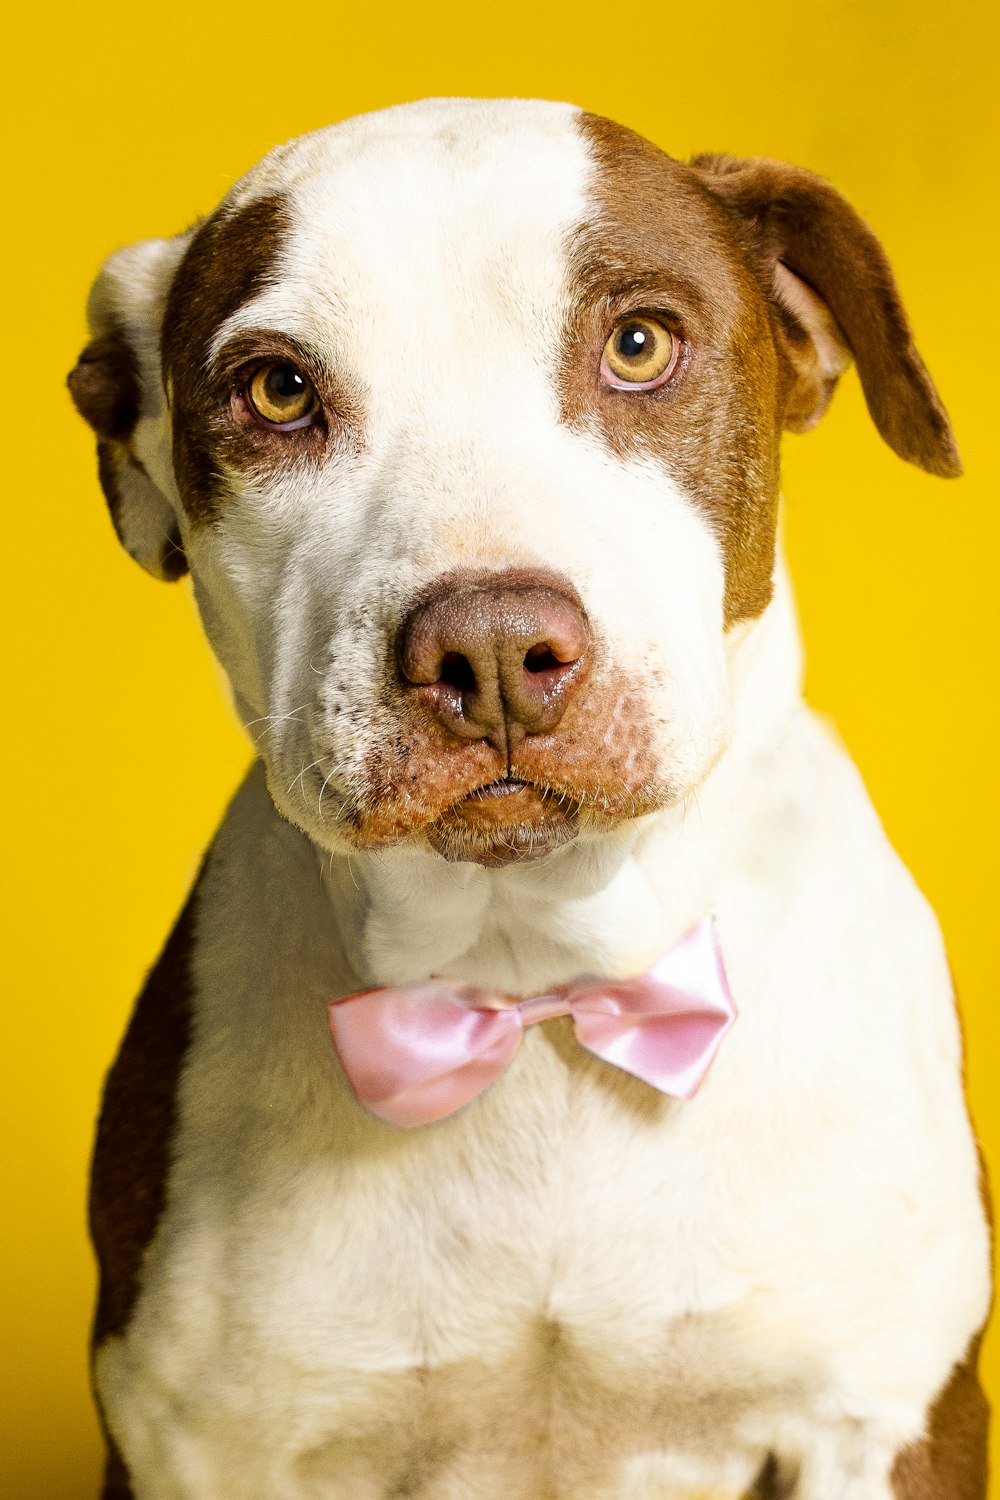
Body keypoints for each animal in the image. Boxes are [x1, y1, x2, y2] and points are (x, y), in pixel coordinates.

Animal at [70, 99, 995, 1494]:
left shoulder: (880, 1416)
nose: (492, 650)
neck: (535, 981)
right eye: (278, 389)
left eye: (639, 344)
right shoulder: (200, 1441)